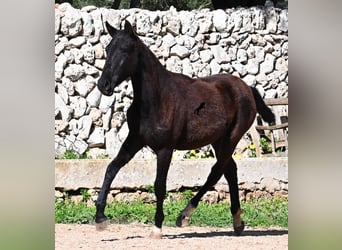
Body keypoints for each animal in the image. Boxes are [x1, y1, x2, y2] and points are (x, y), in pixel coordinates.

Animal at [96, 21, 276, 238]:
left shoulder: (165, 149)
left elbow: (159, 185)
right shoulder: (135, 140)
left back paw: (184, 215)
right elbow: (111, 168)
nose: (103, 85)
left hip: (231, 138)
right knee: (230, 170)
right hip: (218, 140)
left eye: (125, 49)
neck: (156, 99)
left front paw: (157, 228)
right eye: (108, 49)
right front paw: (100, 218)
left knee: (217, 171)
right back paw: (237, 222)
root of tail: (247, 88)